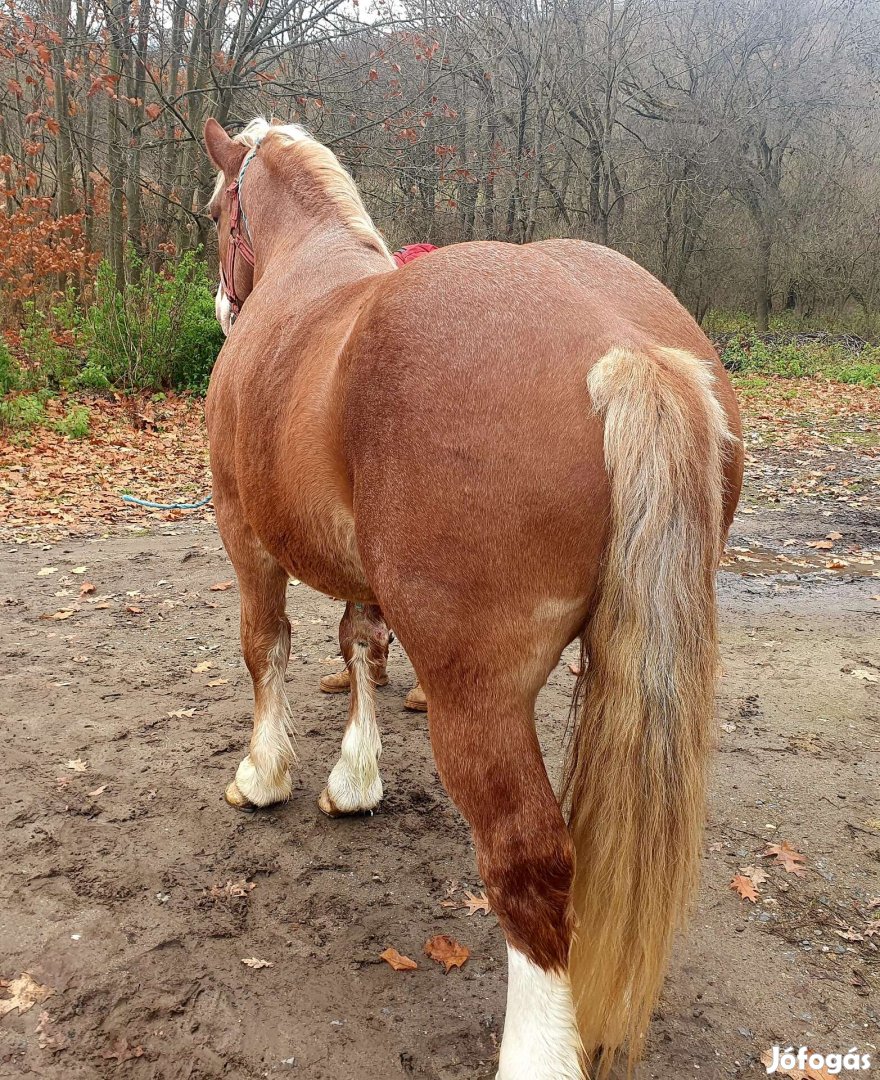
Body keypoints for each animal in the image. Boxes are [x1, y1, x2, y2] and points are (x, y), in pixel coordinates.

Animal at [202, 118, 738, 1080]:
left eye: (220, 214)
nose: (221, 308)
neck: (310, 265)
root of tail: (624, 349)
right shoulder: (366, 581)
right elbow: (358, 644)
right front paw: (355, 777)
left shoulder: (244, 534)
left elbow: (266, 646)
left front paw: (264, 774)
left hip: (478, 699)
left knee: (530, 863)